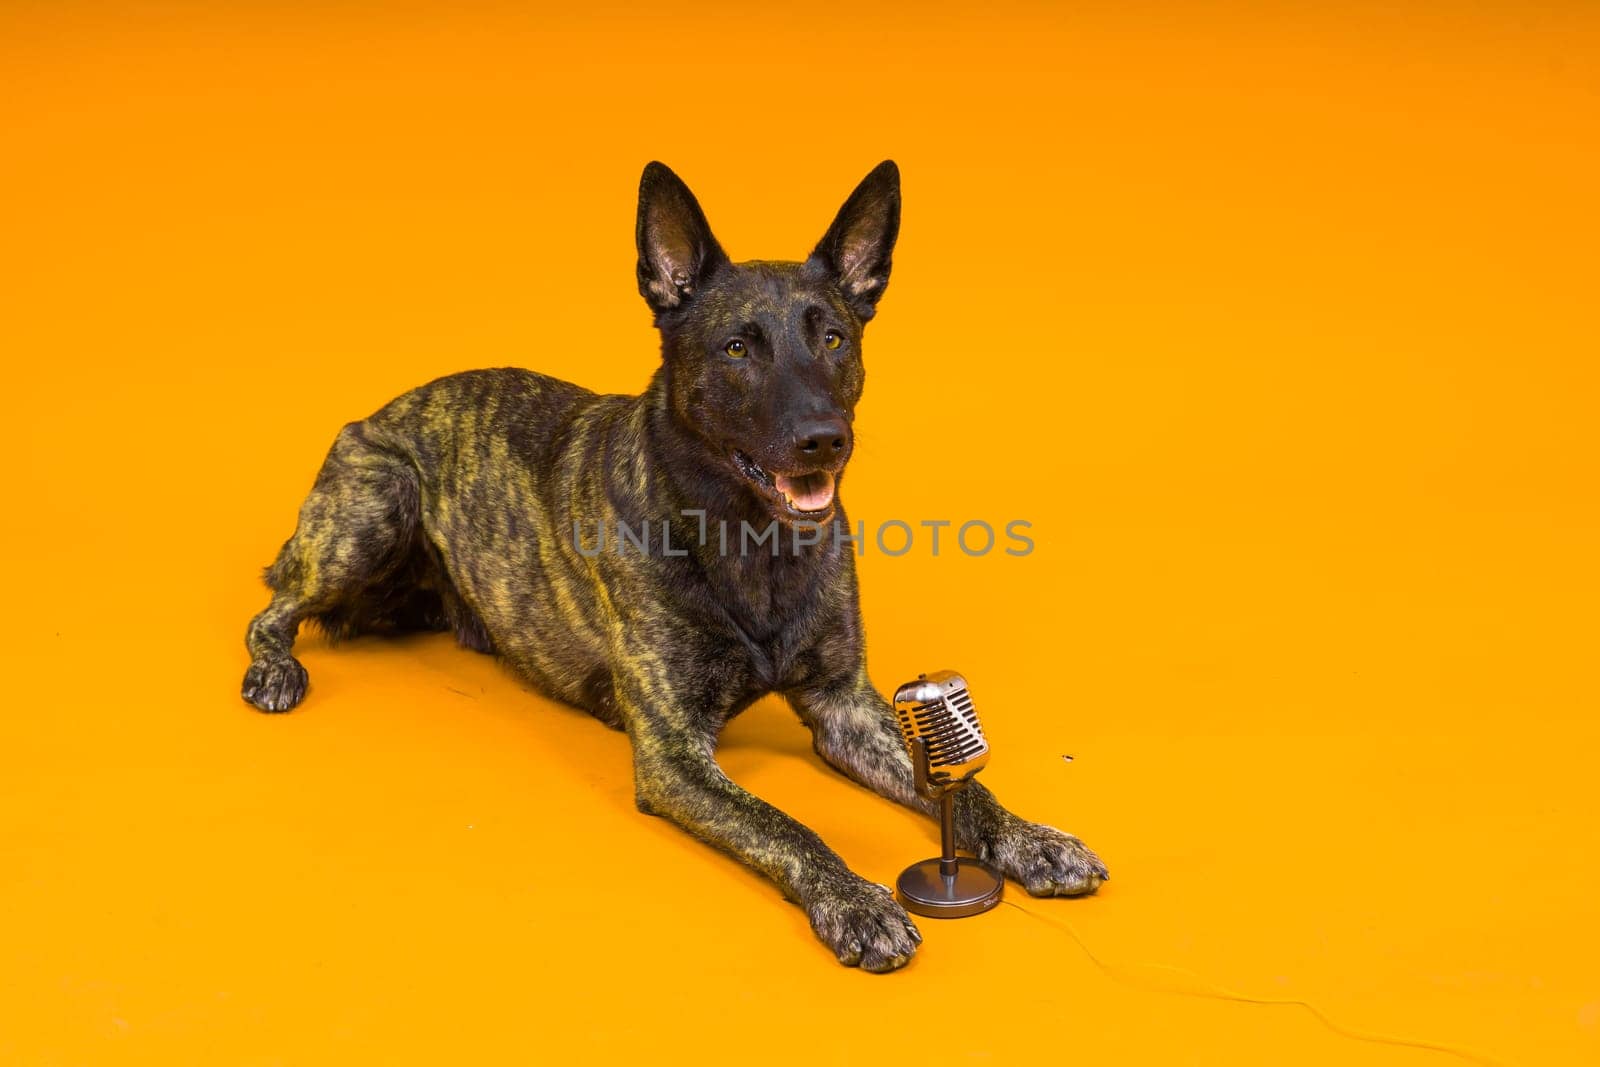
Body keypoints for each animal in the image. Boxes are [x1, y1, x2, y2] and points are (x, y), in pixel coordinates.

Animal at [243, 163, 1107, 972]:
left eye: (833, 338)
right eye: (736, 349)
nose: (824, 438)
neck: (750, 541)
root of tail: (381, 409)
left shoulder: (849, 707)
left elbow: (967, 787)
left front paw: (1031, 837)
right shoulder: (674, 756)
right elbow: (783, 822)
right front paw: (855, 900)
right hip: (374, 507)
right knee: (273, 609)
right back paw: (276, 668)